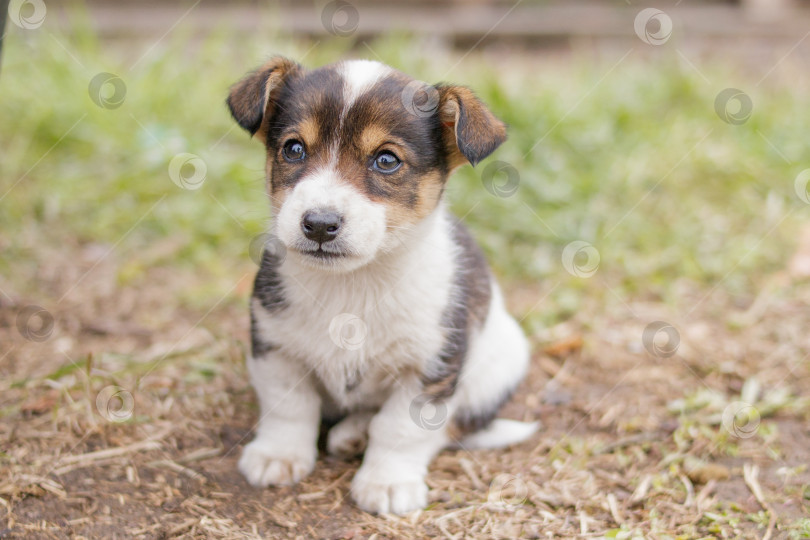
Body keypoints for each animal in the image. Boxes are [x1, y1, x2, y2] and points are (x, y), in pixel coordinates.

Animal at [226, 58, 536, 516]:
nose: (319, 224)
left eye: (387, 160)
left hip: (499, 368)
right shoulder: (275, 347)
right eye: (294, 149)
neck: (353, 283)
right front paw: (278, 455)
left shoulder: (430, 368)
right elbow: (289, 408)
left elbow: (401, 429)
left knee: (448, 427)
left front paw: (387, 482)